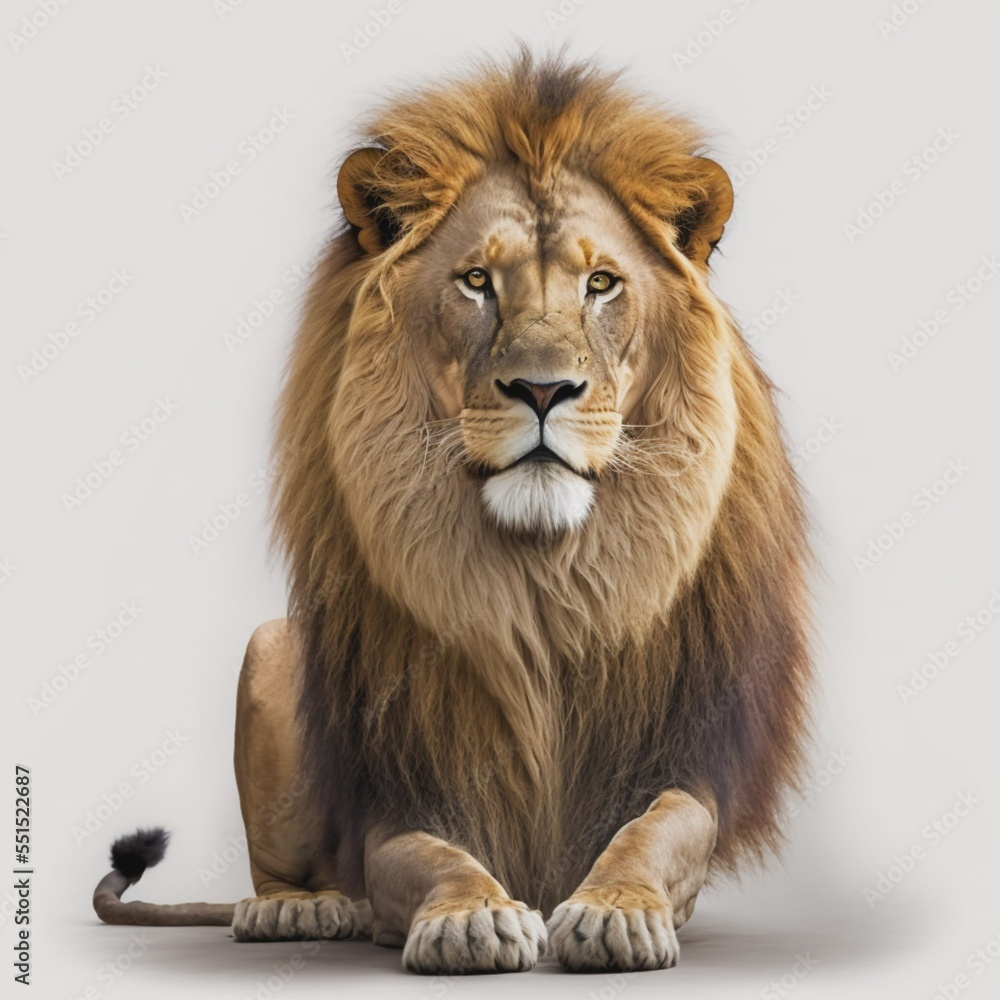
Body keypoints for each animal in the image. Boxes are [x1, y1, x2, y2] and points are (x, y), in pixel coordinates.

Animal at [92, 51, 811, 975]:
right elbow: (429, 856)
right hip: (272, 647)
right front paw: (474, 918)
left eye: (601, 284)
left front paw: (613, 909)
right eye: (477, 282)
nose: (543, 389)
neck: (542, 580)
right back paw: (298, 910)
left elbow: (656, 832)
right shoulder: (401, 788)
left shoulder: (677, 759)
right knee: (287, 873)